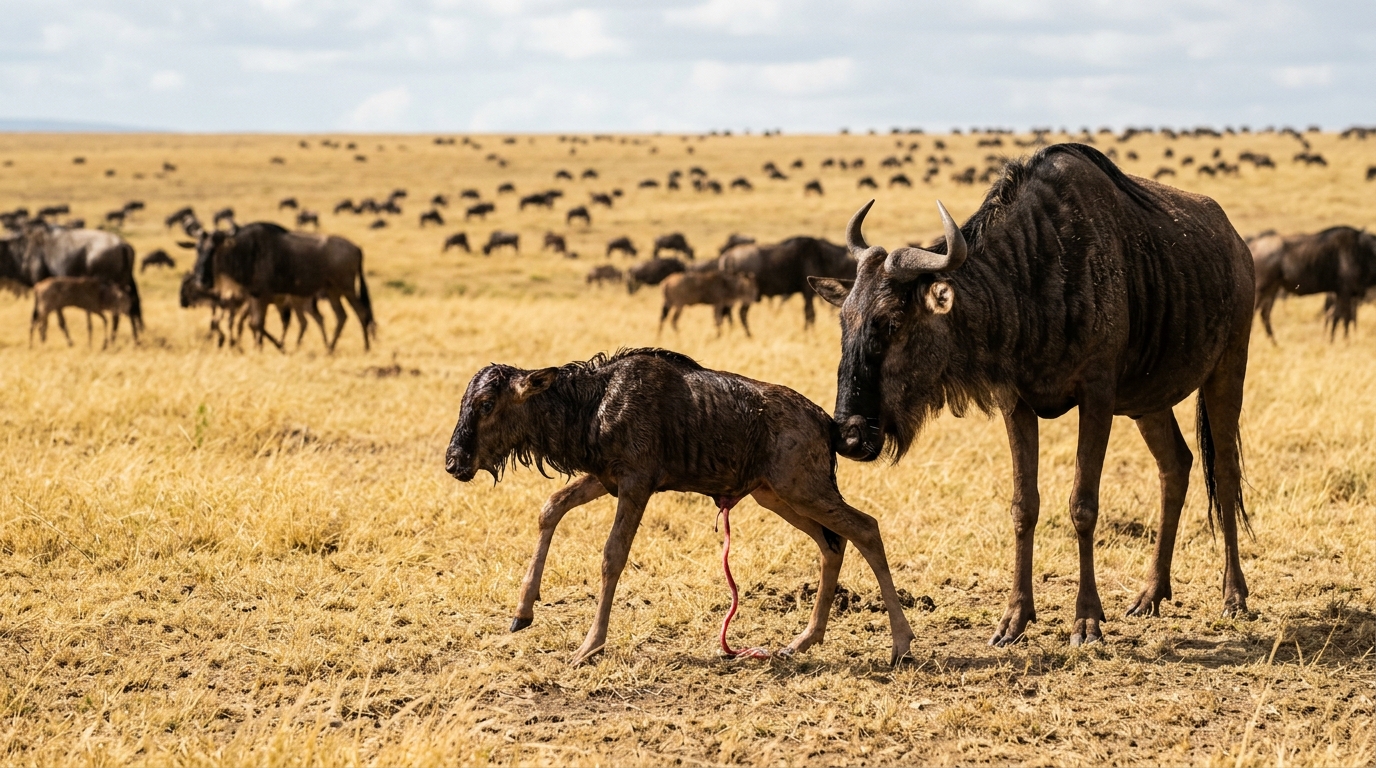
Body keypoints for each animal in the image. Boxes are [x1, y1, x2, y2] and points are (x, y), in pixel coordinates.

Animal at [186, 222, 375, 352]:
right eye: (198, 248)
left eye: (214, 249)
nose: (201, 279)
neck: (246, 254)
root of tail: (357, 248)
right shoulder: (253, 296)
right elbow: (254, 324)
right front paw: (267, 346)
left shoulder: (261, 296)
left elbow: (257, 323)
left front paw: (266, 348)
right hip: (333, 291)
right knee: (341, 316)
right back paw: (330, 349)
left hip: (347, 288)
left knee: (361, 312)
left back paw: (366, 347)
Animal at [443, 349, 916, 665]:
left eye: (486, 404)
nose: (453, 462)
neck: (593, 404)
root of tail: (827, 424)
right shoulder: (606, 478)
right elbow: (551, 507)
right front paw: (523, 610)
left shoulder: (637, 483)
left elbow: (612, 555)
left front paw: (590, 645)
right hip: (777, 494)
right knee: (833, 544)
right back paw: (804, 640)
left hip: (802, 488)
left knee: (865, 527)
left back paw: (901, 644)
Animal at [809, 143, 1255, 648]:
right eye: (845, 321)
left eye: (891, 323)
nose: (847, 436)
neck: (1033, 276)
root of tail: (1236, 243)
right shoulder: (1016, 403)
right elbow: (1024, 506)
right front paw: (1015, 618)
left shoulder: (1097, 397)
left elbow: (1083, 504)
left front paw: (1087, 621)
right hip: (1149, 402)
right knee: (1175, 465)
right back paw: (1151, 594)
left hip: (1228, 369)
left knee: (1226, 471)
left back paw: (1234, 597)